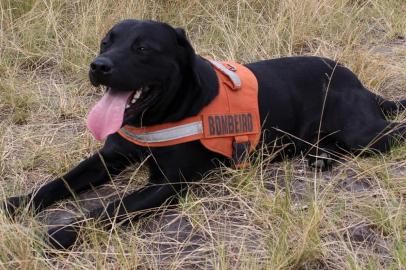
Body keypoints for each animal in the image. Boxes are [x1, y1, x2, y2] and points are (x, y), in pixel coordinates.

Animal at [2, 20, 402, 250]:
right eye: (105, 42)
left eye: (142, 48)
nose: (98, 66)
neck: (159, 116)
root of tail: (360, 85)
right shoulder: (110, 157)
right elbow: (58, 183)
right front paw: (15, 204)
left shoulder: (167, 185)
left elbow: (109, 209)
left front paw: (60, 233)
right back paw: (320, 157)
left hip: (363, 134)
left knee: (395, 132)